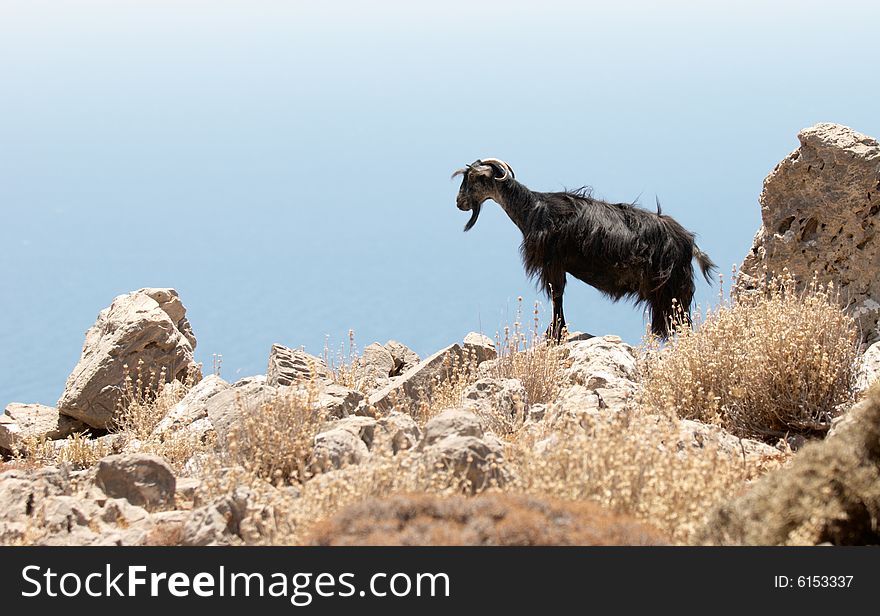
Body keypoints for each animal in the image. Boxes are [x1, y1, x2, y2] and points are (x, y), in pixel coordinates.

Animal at [454, 158, 716, 342]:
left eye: (477, 178)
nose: (459, 202)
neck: (533, 210)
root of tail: (688, 243)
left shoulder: (552, 263)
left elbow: (556, 295)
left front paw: (555, 333)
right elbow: (558, 295)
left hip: (669, 288)